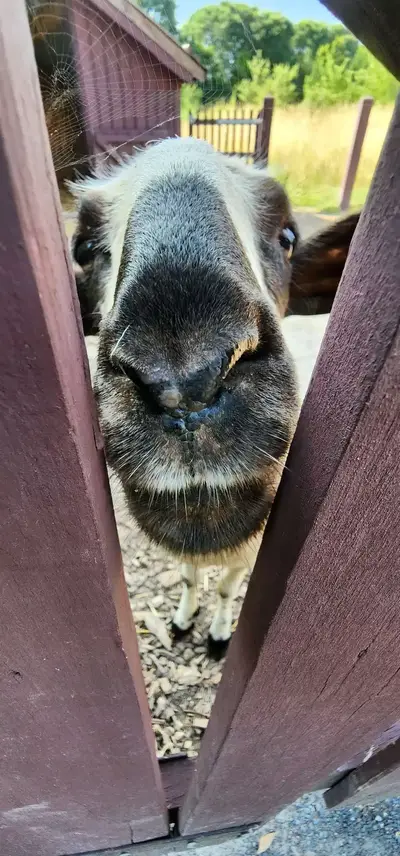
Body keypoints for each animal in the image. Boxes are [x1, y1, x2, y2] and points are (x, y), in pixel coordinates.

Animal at [71, 137, 359, 657]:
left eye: (288, 237)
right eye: (84, 248)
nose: (184, 380)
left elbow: (226, 587)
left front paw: (221, 633)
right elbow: (188, 576)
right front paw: (183, 619)